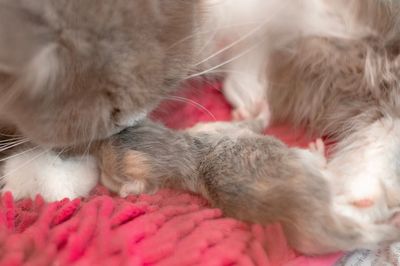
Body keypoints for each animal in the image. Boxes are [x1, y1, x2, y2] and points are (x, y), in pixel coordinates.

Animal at [95, 117, 400, 255]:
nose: (98, 145)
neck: (185, 154)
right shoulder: (222, 127)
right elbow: (253, 123)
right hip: (305, 166)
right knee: (335, 181)